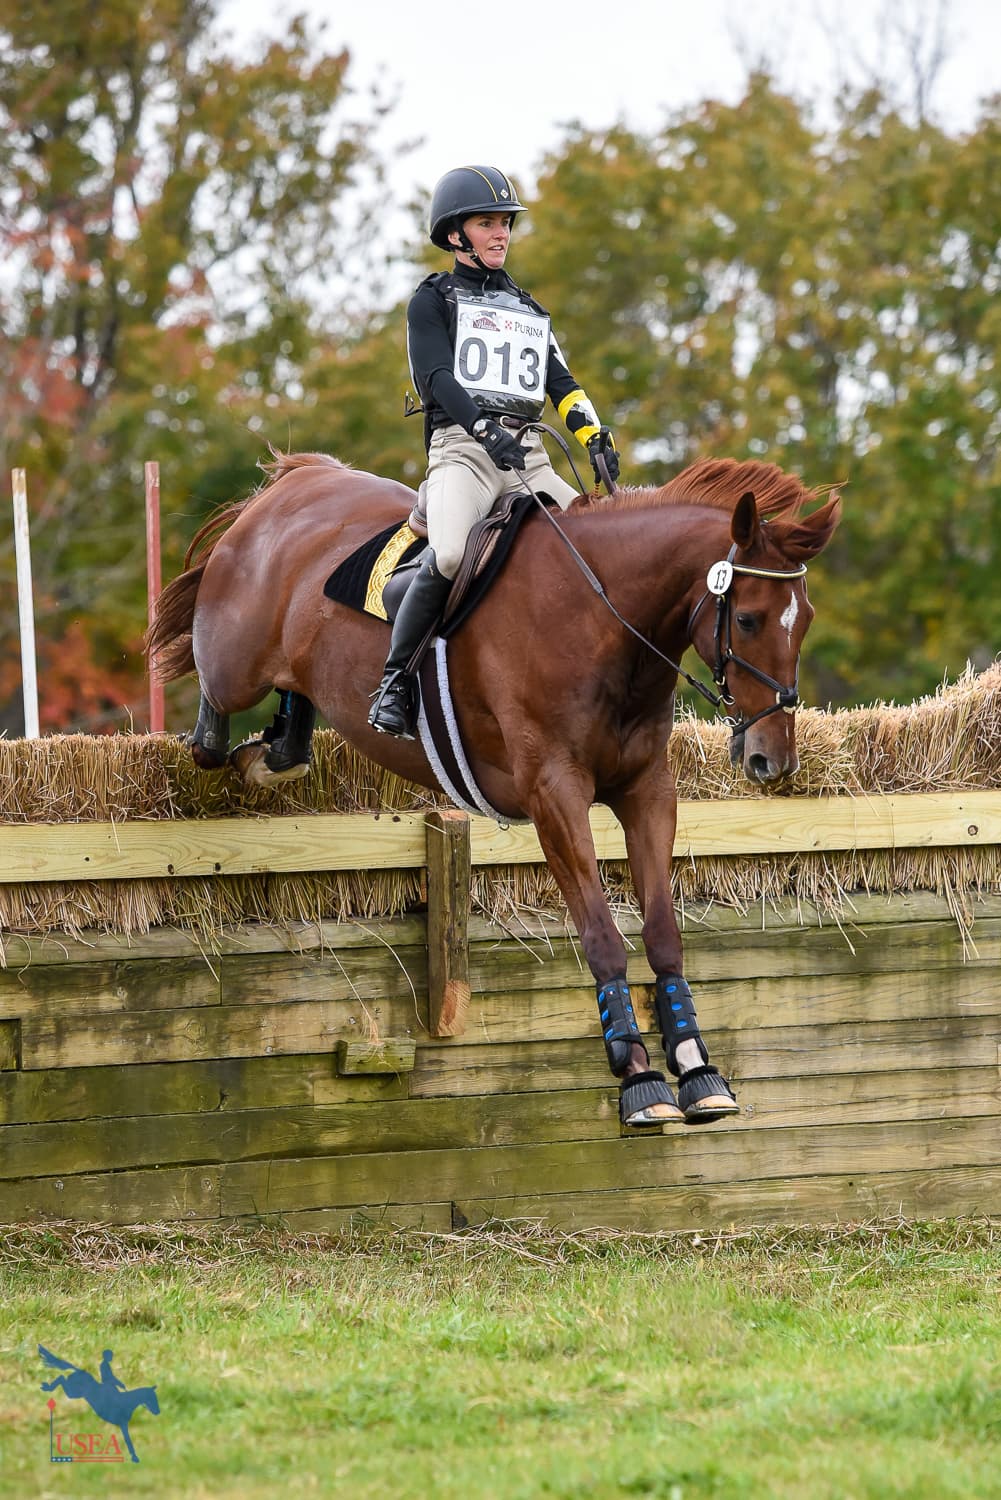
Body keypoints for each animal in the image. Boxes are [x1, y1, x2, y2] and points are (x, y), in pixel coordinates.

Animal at [147, 453, 840, 1127]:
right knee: (211, 721)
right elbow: (601, 935)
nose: (772, 759)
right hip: (236, 663)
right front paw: (638, 1075)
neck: (602, 618)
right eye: (746, 619)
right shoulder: (554, 794)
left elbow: (663, 931)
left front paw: (697, 1067)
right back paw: (237, 743)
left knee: (284, 728)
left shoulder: (648, 791)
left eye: (804, 620)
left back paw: (277, 749)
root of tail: (294, 481)